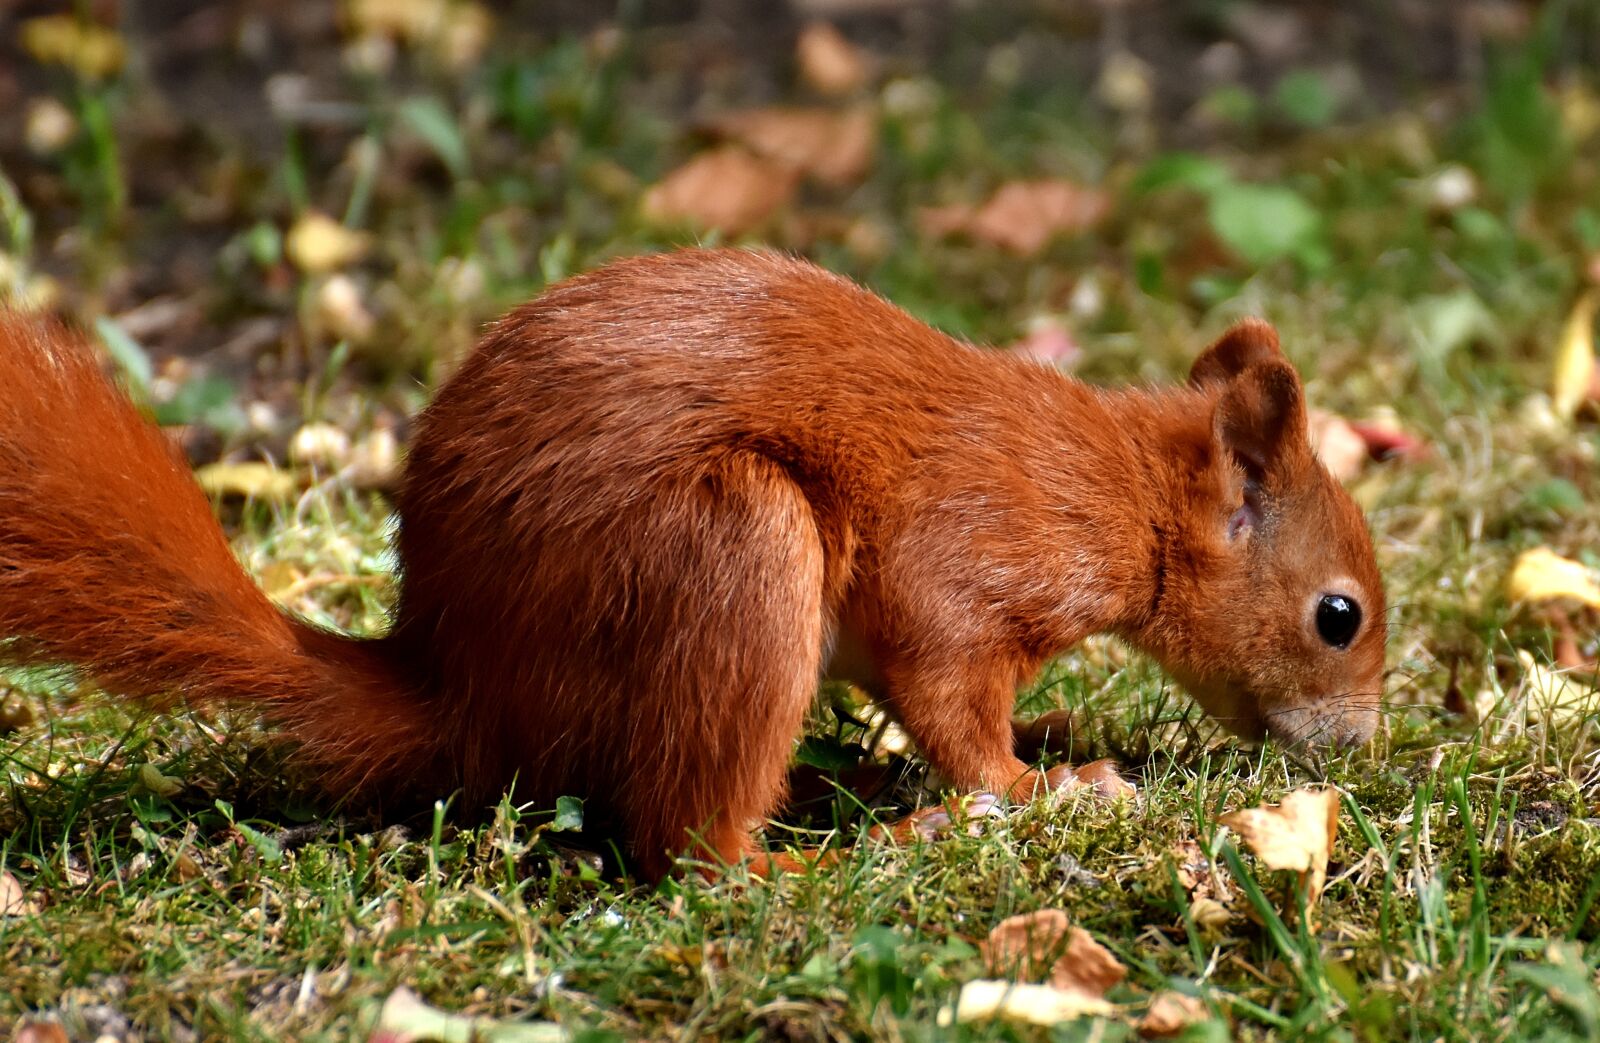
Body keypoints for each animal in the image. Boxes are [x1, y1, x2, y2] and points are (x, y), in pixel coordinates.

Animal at [0, 248, 1385, 879]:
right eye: (1337, 615)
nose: (1361, 747)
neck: (1120, 494)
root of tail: (461, 684)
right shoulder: (970, 562)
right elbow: (950, 691)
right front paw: (1043, 786)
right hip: (734, 553)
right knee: (690, 844)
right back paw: (855, 847)